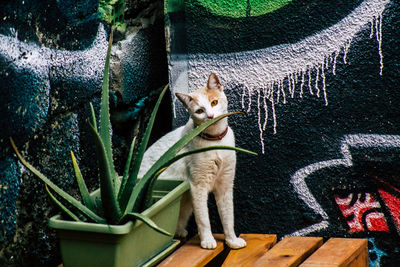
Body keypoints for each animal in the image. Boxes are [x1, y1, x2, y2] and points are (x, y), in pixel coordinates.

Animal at [138, 74, 247, 251]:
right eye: (200, 111)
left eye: (214, 102)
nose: (210, 116)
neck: (216, 142)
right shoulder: (197, 186)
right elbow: (203, 219)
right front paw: (208, 241)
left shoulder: (225, 185)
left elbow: (228, 217)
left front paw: (232, 240)